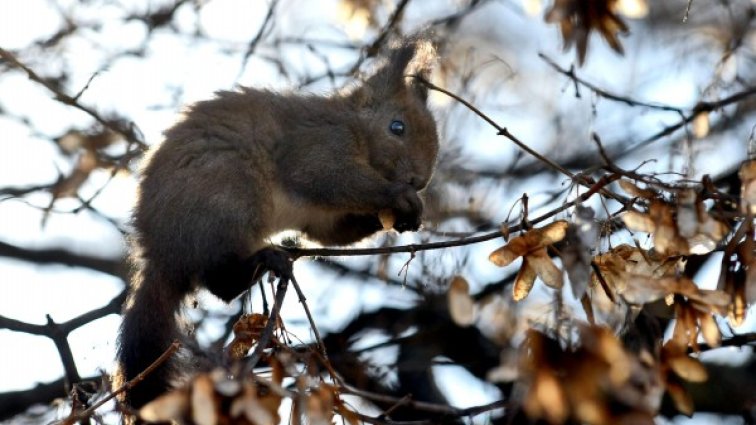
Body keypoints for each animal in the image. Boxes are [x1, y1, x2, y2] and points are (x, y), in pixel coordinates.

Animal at [115, 39, 440, 410]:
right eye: (397, 127)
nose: (418, 181)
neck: (353, 125)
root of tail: (160, 256)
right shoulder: (317, 147)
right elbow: (329, 177)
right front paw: (398, 196)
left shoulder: (321, 216)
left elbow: (331, 232)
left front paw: (405, 216)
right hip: (231, 198)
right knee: (221, 283)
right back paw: (264, 260)